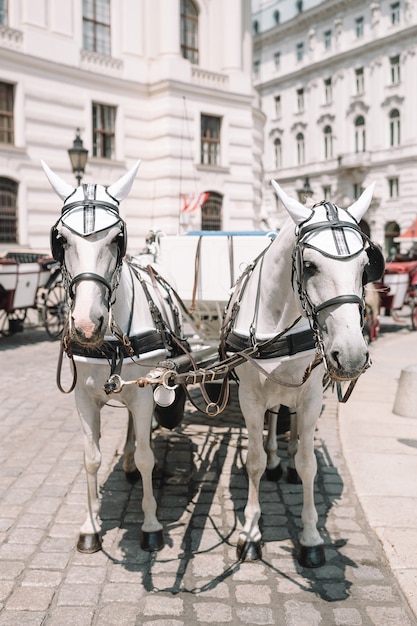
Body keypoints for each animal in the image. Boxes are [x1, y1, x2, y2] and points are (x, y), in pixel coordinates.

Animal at [42, 160, 185, 552]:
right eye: (60, 239)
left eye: (117, 239)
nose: (86, 324)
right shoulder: (82, 398)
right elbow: (91, 459)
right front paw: (90, 526)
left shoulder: (145, 395)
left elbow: (148, 456)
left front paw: (151, 525)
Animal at [221, 180, 384, 564]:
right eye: (309, 265)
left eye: (364, 267)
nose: (352, 356)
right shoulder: (249, 398)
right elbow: (254, 461)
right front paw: (250, 533)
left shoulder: (310, 398)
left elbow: (309, 462)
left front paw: (311, 537)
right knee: (273, 423)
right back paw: (276, 461)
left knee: (291, 427)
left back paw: (289, 463)